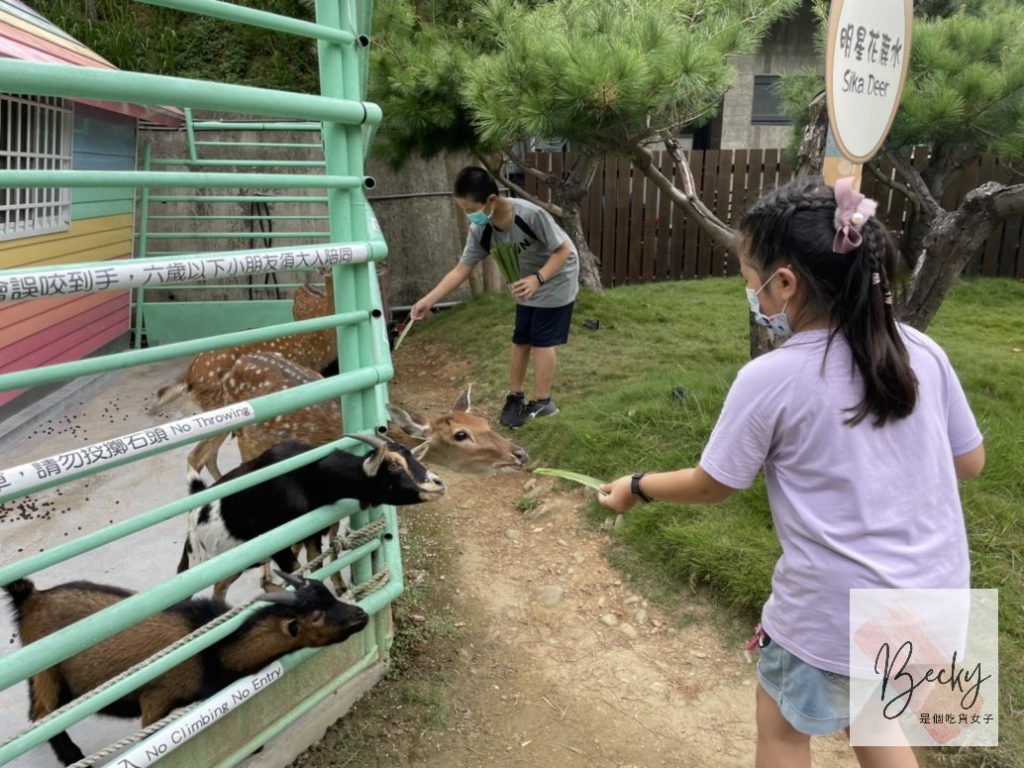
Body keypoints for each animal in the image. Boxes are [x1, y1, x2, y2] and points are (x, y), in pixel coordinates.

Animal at [2, 573, 370, 765]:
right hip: (47, 673)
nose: (362, 615)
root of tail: (32, 597)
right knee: (43, 715)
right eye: (315, 616)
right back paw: (71, 756)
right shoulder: (155, 701)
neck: (213, 651)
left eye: (328, 593)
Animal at [180, 436, 444, 606]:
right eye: (393, 464)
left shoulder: (312, 535)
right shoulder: (281, 548)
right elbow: (299, 574)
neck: (310, 476)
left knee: (219, 587)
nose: (438, 484)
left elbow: (317, 568)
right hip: (195, 558)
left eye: (412, 457)